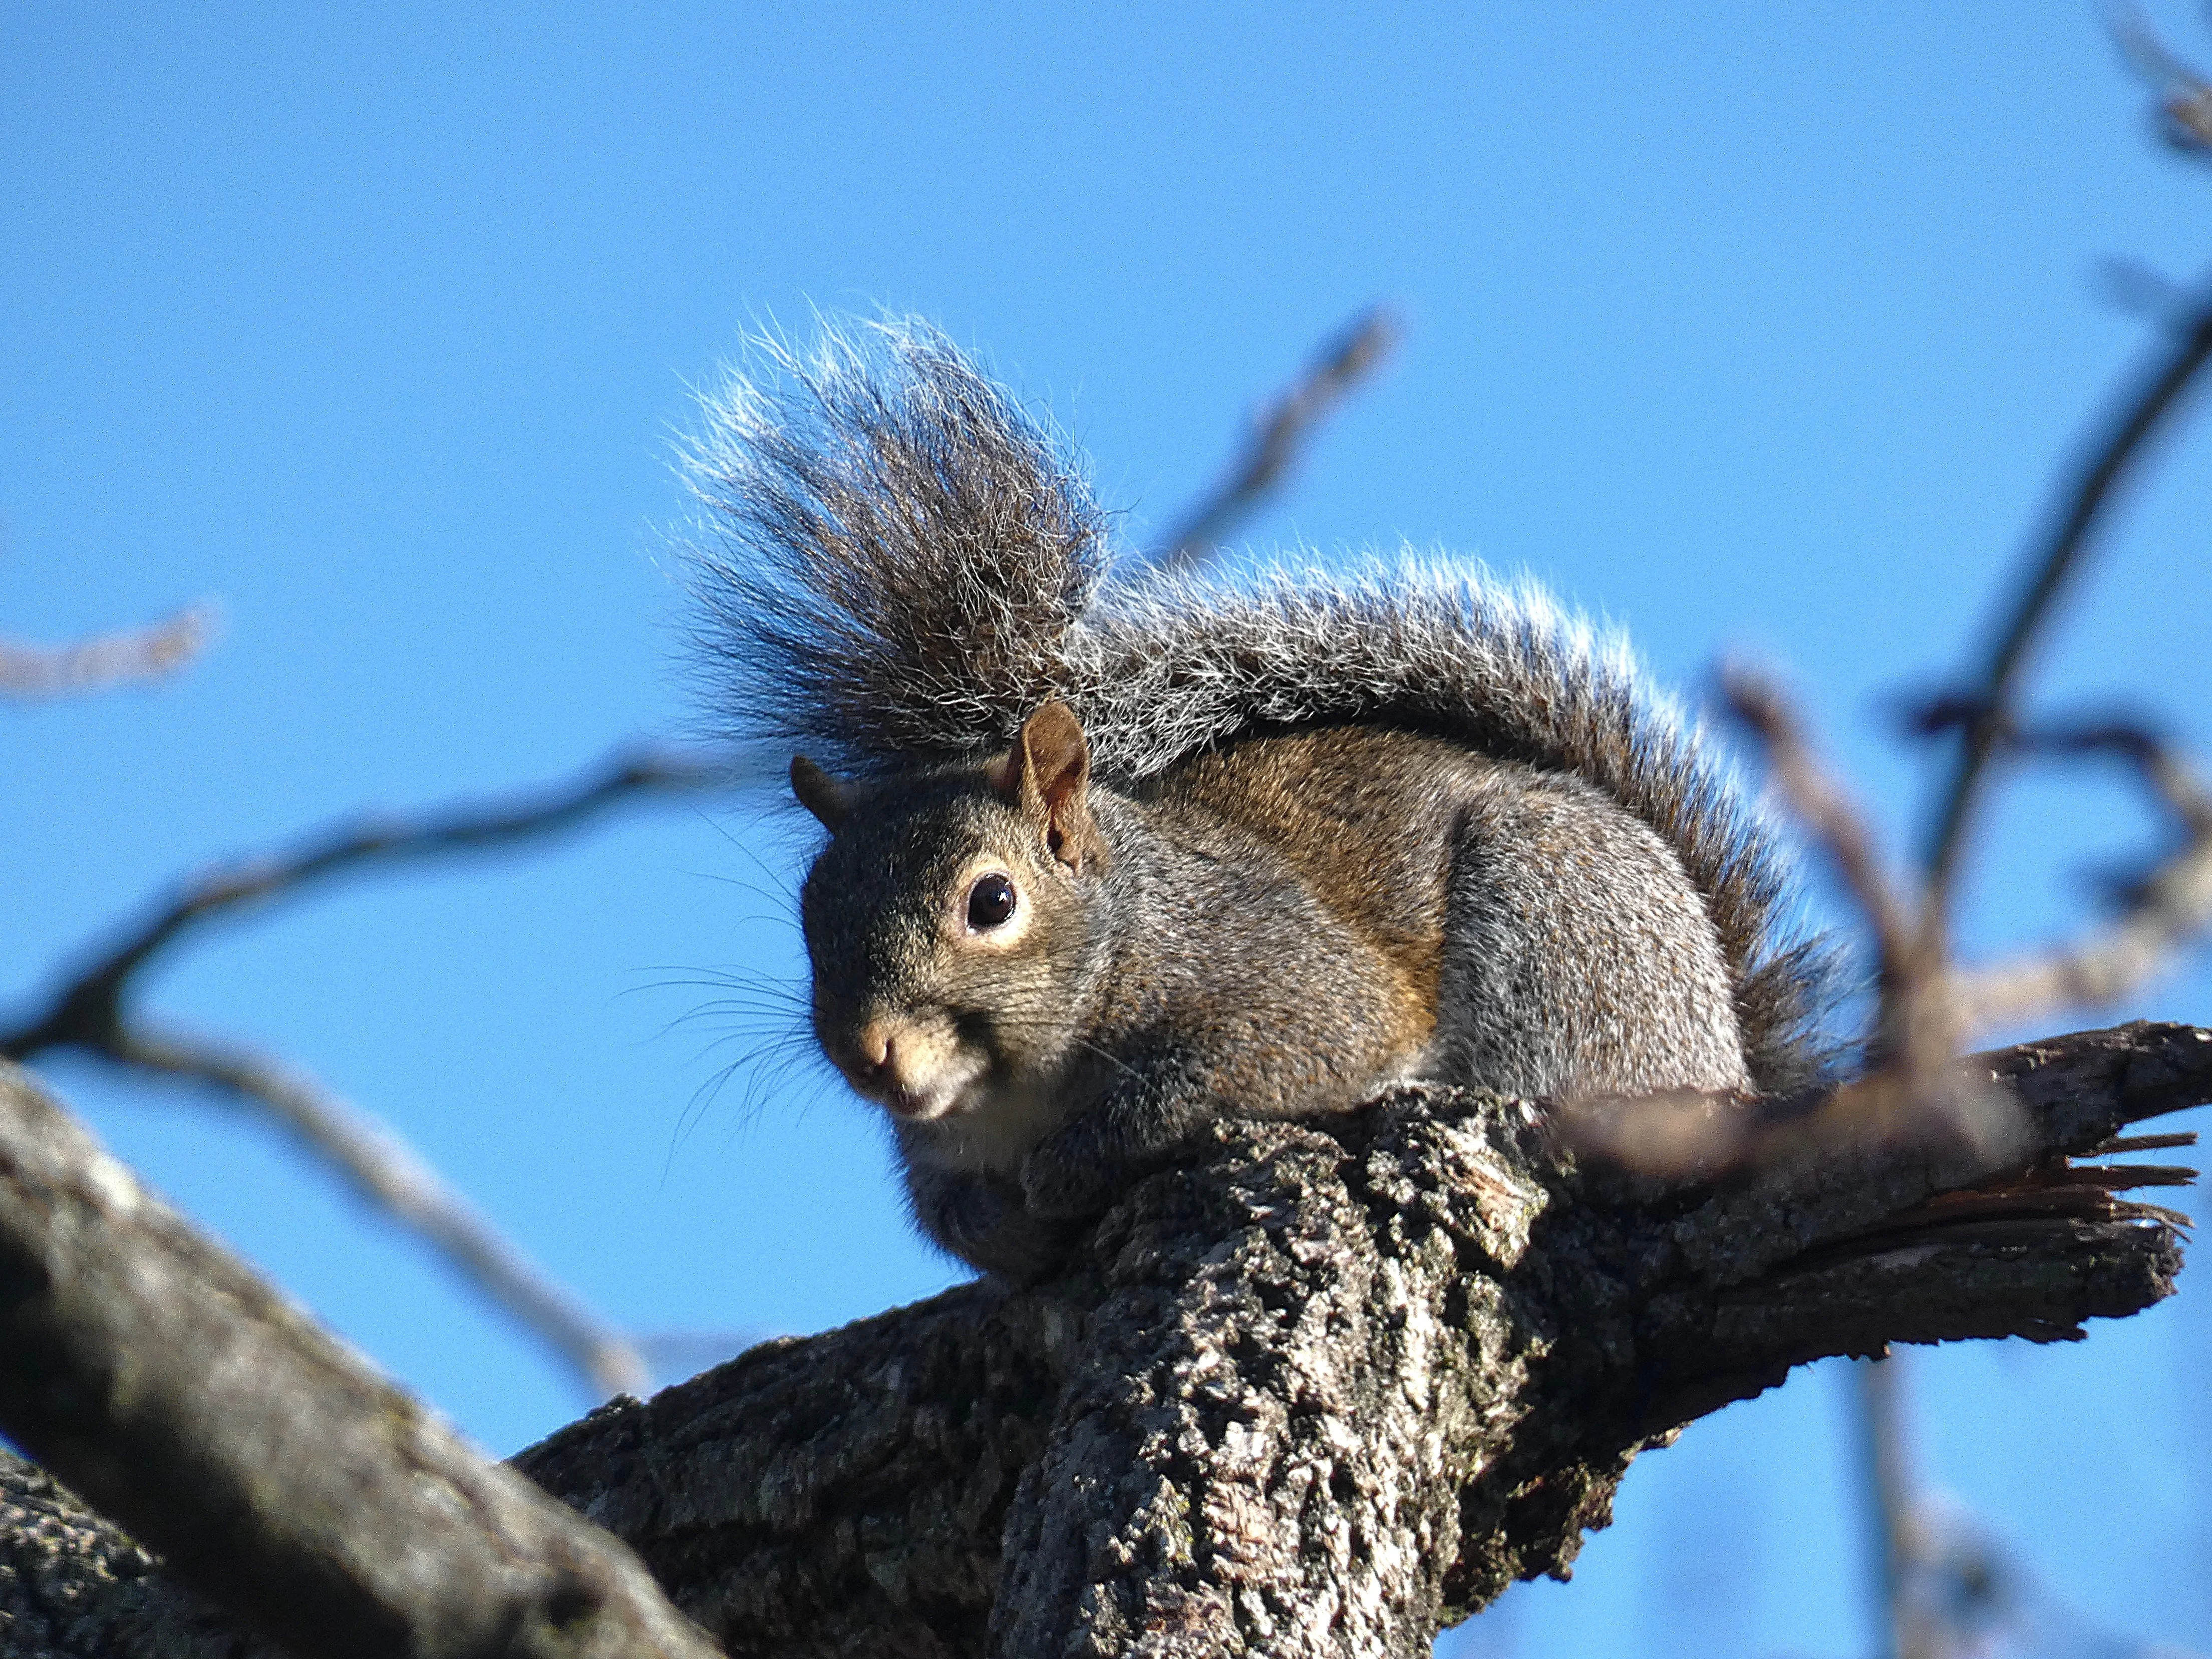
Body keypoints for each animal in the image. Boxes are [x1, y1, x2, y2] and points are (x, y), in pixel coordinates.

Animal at [684, 321, 1834, 1277]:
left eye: (992, 902)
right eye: (809, 917)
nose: (869, 1053)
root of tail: (1730, 1046)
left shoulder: (1288, 991)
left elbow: (1241, 1070)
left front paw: (1061, 1171)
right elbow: (949, 1216)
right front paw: (1001, 1221)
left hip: (1563, 928)